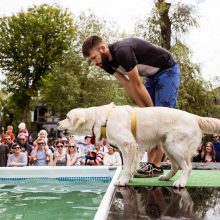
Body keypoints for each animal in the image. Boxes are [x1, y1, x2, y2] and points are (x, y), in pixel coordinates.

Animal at [58, 103, 220, 187]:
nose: (58, 123)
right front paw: (128, 178)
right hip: (167, 145)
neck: (103, 119)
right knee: (175, 166)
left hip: (176, 146)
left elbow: (127, 166)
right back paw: (166, 177)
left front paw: (123, 180)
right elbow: (129, 165)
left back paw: (181, 182)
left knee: (187, 167)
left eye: (67, 117)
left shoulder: (128, 144)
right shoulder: (128, 147)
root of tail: (194, 117)